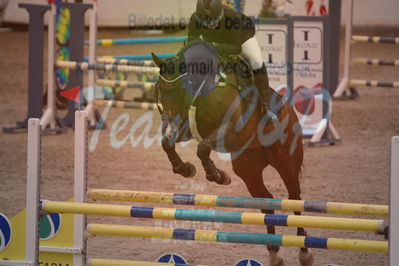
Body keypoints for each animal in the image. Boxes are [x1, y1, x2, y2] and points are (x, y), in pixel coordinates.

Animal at [152, 42, 314, 266]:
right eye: (159, 90)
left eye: (181, 89)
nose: (169, 127)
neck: (205, 87)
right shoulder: (186, 129)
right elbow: (167, 144)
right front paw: (185, 169)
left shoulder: (229, 131)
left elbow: (203, 148)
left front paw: (216, 175)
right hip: (248, 170)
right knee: (267, 202)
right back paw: (274, 253)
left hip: (286, 163)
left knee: (294, 198)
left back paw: (304, 251)